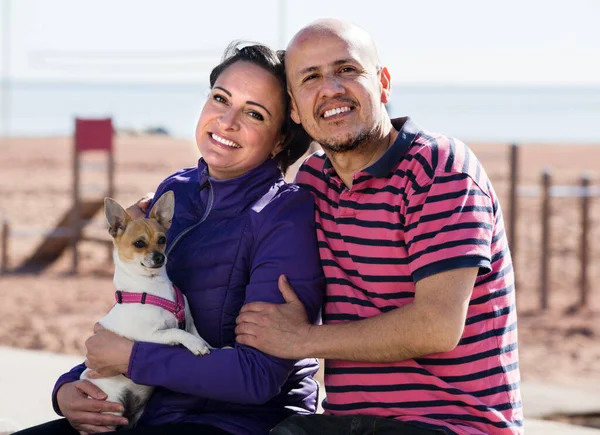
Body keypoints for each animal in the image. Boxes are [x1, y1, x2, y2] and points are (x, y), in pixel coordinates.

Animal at [79, 192, 211, 430]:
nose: (160, 257)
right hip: (110, 408)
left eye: (162, 239)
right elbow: (176, 332)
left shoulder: (189, 322)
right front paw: (196, 345)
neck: (153, 288)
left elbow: (196, 334)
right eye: (139, 243)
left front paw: (214, 347)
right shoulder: (149, 336)